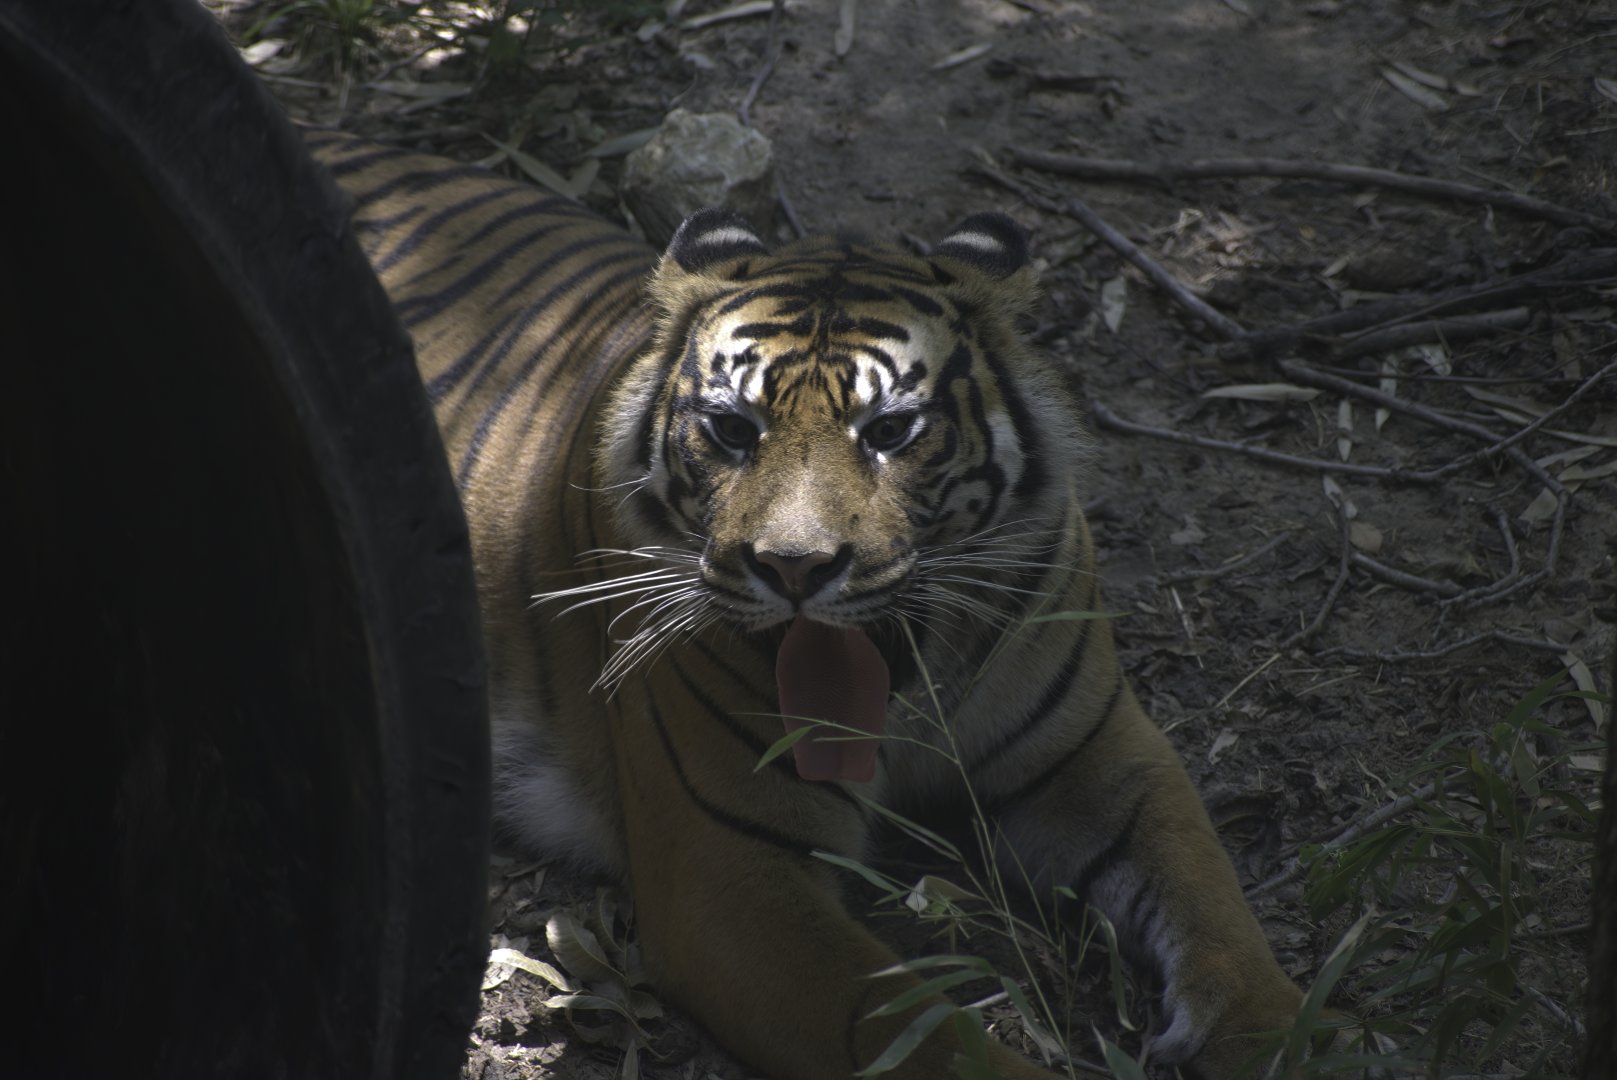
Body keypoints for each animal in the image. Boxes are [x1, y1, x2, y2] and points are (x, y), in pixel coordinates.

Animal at [307, 130, 1310, 1079]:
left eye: (891, 431)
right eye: (730, 429)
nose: (794, 568)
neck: (910, 691)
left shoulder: (1101, 756)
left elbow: (1212, 900)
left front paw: (1288, 1037)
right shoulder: (733, 879)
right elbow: (930, 1038)